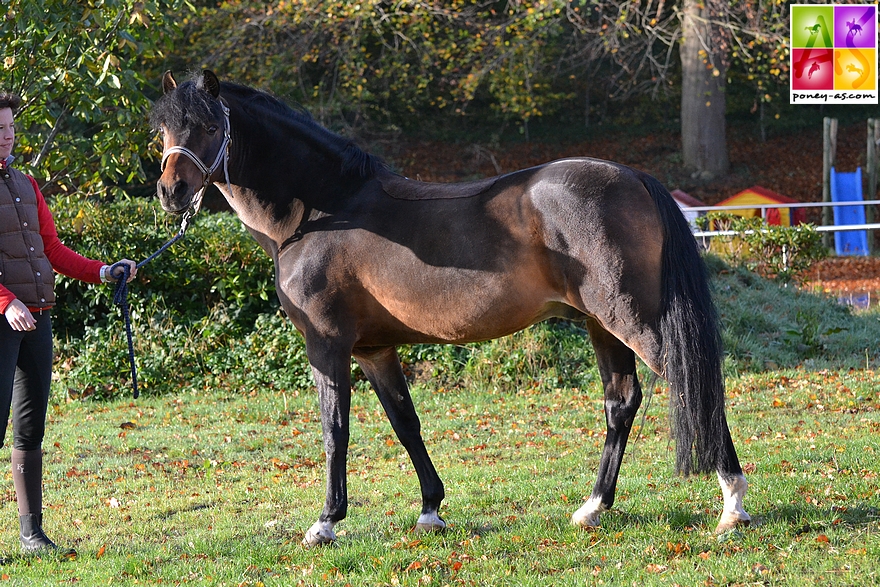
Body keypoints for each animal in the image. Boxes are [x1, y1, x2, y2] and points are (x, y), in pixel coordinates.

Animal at [151, 70, 748, 548]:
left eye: (208, 127)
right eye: (164, 130)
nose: (171, 191)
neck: (323, 212)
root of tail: (634, 178)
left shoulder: (328, 346)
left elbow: (334, 429)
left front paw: (326, 522)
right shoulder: (374, 350)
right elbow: (406, 423)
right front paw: (430, 510)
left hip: (634, 320)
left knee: (692, 383)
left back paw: (732, 507)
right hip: (603, 326)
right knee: (621, 404)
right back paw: (592, 509)